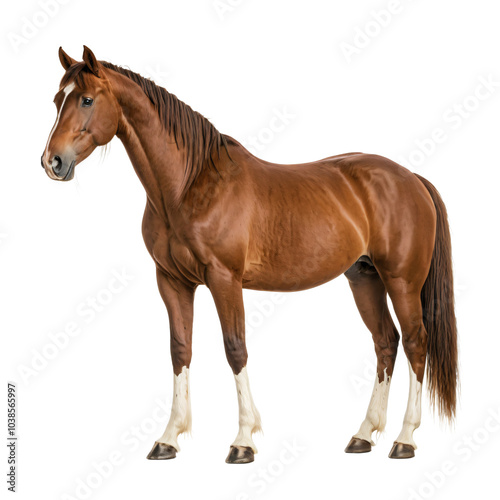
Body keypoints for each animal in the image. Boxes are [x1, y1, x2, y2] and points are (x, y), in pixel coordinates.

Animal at [42, 46, 458, 460]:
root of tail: (411, 178)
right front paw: (169, 438)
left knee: (416, 343)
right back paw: (363, 434)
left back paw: (405, 439)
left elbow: (235, 349)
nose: (52, 162)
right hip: (364, 277)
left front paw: (243, 440)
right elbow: (180, 350)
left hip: (402, 281)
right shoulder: (172, 281)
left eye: (87, 99)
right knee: (386, 343)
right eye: (57, 100)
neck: (190, 185)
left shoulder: (224, 279)